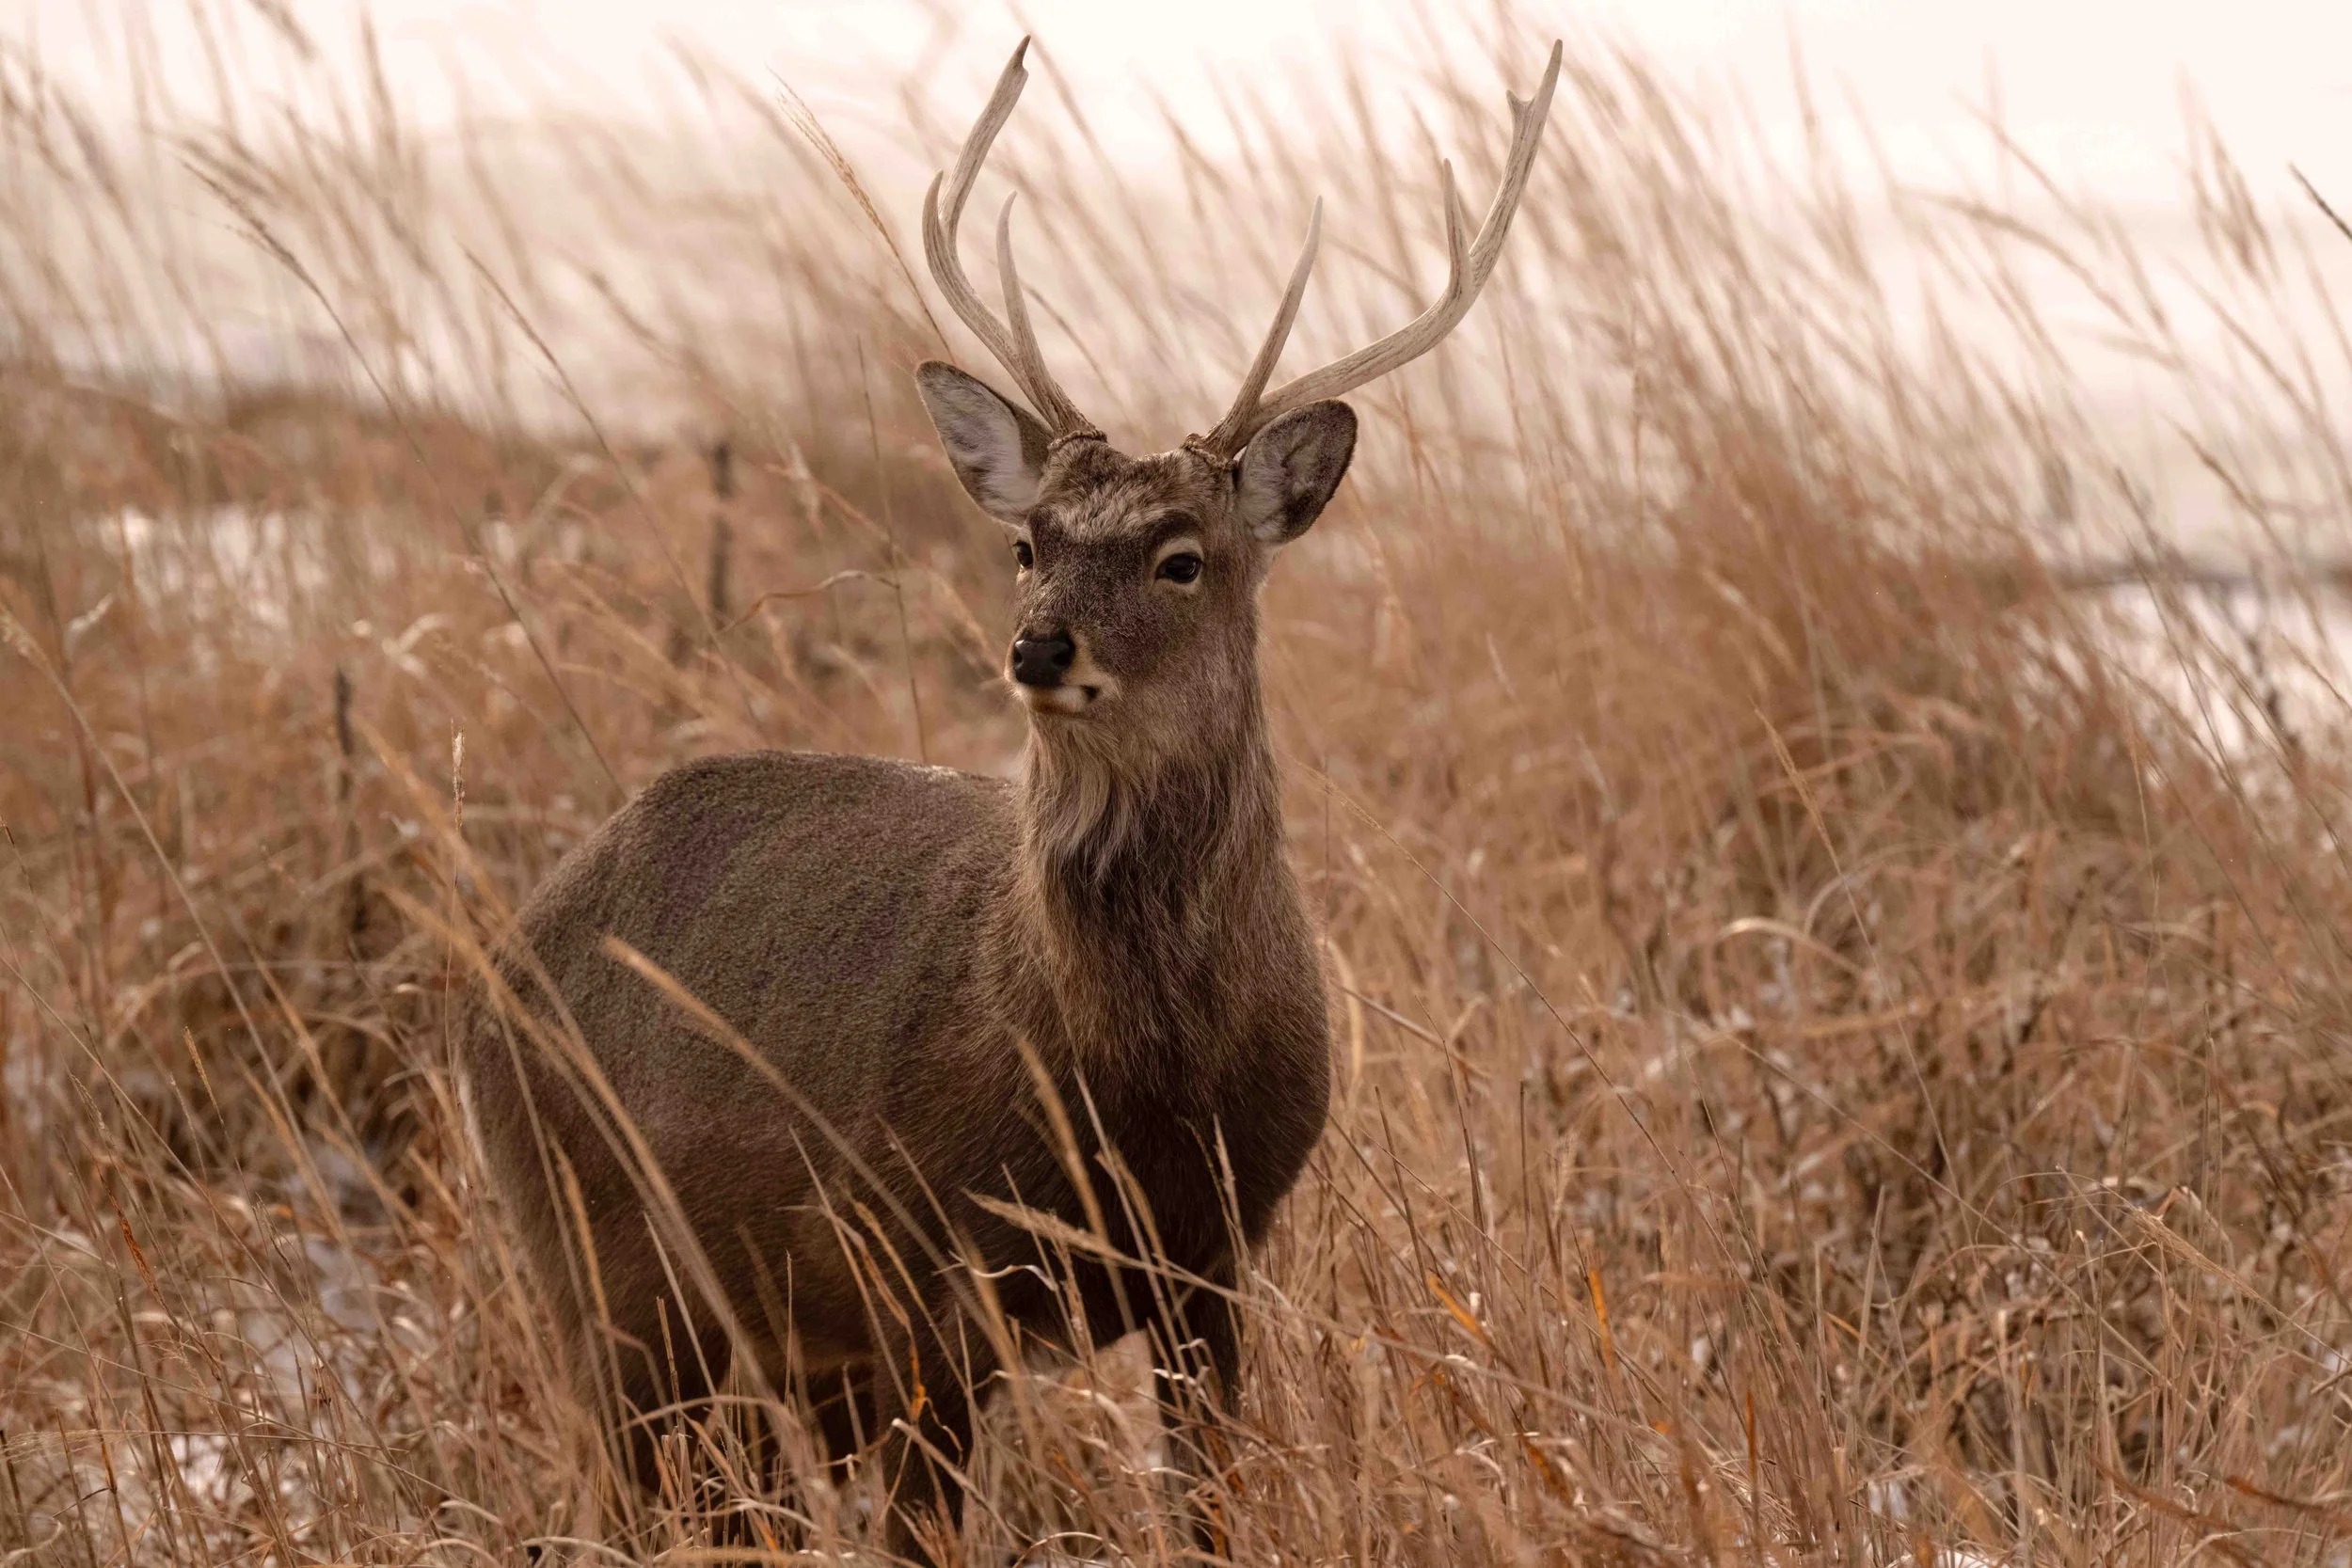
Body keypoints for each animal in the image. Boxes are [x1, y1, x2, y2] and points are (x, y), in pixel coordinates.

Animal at [461, 35, 1559, 1563]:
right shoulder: (929, 1262)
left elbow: (1206, 1512)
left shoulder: (1215, 1260)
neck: (1132, 1086)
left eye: (1180, 555)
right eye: (1028, 541)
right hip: (597, 1252)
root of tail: (501, 958)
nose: (1040, 646)